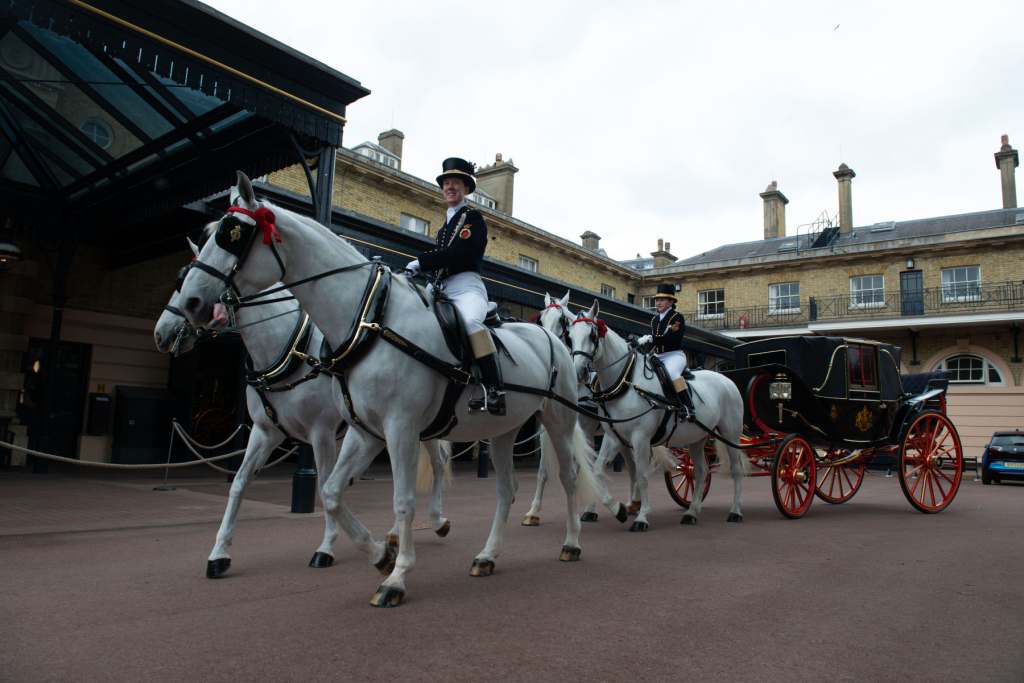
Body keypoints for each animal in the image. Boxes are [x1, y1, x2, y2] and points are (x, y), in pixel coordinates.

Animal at [154, 262, 448, 577]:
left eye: (187, 284)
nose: (161, 333)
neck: (289, 348)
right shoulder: (265, 432)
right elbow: (240, 483)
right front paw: (219, 553)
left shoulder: (321, 432)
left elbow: (323, 485)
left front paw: (326, 548)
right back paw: (394, 533)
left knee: (438, 463)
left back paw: (437, 520)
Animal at [524, 290, 634, 528]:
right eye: (541, 318)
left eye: (562, 321)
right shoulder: (548, 431)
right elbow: (543, 471)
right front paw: (533, 511)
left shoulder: (584, 430)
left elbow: (586, 468)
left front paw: (589, 509)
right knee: (633, 464)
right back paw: (633, 504)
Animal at [569, 301, 745, 532]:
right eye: (570, 336)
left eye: (592, 334)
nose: (578, 372)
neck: (626, 381)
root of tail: (727, 379)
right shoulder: (614, 437)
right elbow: (598, 471)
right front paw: (619, 510)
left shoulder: (640, 438)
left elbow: (642, 476)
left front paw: (642, 517)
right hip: (696, 439)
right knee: (700, 472)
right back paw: (691, 512)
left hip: (730, 434)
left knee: (736, 470)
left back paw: (735, 511)